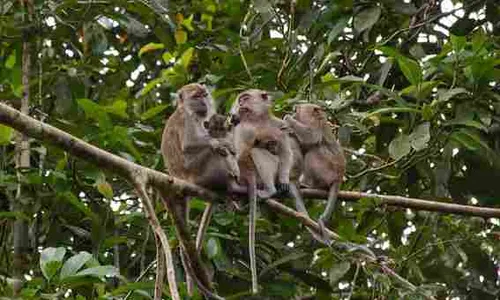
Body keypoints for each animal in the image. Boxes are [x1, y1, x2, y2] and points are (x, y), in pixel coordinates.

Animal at [284, 104, 346, 243]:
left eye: (297, 110)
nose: (293, 112)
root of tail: (339, 177)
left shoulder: (315, 124)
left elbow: (311, 136)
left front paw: (288, 119)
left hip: (327, 170)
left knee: (314, 151)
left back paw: (312, 185)